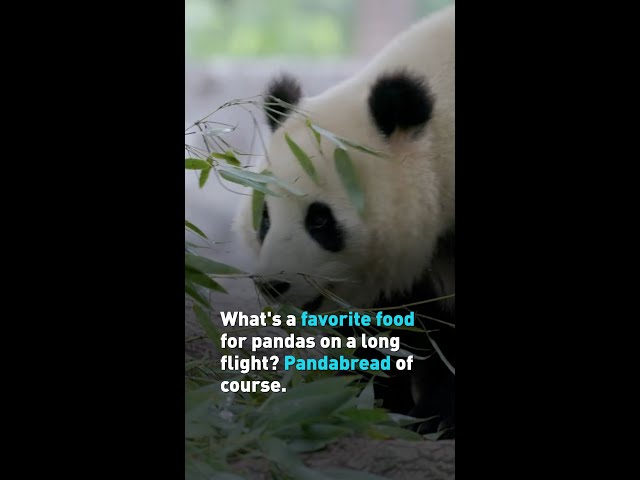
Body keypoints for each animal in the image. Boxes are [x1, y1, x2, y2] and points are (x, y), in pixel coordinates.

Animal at [235, 5, 456, 436]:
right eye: (264, 218)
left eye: (321, 220)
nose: (273, 285)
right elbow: (387, 326)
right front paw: (361, 400)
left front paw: (435, 418)